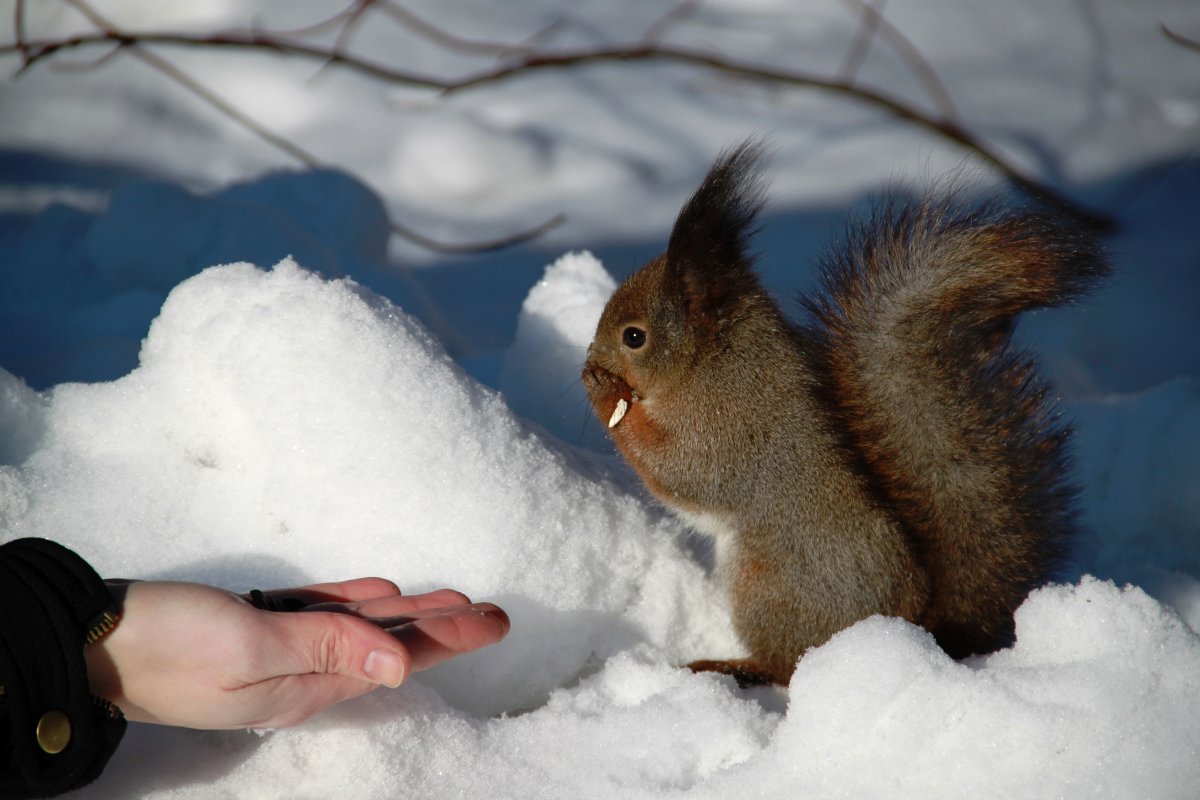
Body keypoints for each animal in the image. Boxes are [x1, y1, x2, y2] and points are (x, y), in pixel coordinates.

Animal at [578, 140, 1104, 686]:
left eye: (634, 336)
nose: (590, 359)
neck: (713, 362)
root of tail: (914, 622)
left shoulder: (728, 425)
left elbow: (683, 471)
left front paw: (605, 394)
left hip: (769, 585)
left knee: (785, 662)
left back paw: (730, 664)